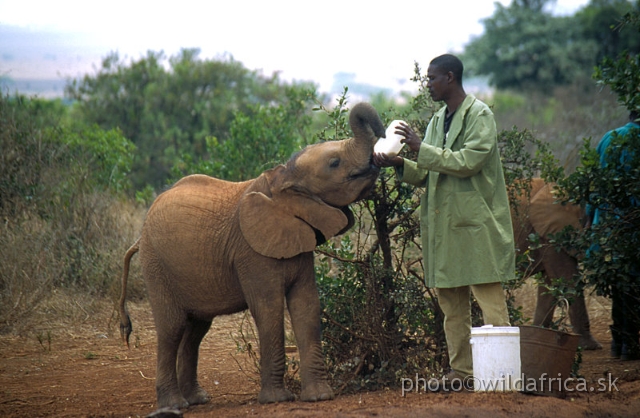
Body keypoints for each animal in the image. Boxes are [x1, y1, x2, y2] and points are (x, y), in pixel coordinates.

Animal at [120, 103, 384, 410]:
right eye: (334, 163)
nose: (385, 140)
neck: (281, 179)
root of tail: (140, 237)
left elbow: (307, 306)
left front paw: (320, 396)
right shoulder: (251, 253)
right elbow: (268, 309)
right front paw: (277, 400)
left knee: (196, 329)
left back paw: (197, 399)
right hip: (156, 264)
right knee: (172, 328)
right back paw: (174, 405)